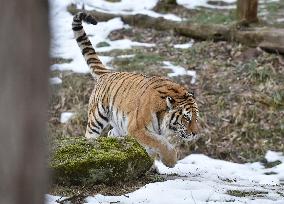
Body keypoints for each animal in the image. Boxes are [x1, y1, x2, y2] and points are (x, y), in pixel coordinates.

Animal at [72, 11, 199, 167]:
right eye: (186, 118)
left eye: (196, 118)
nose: (195, 133)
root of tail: (107, 73)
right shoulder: (137, 128)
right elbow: (159, 142)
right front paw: (170, 160)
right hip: (97, 118)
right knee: (90, 136)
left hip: (119, 125)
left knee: (110, 133)